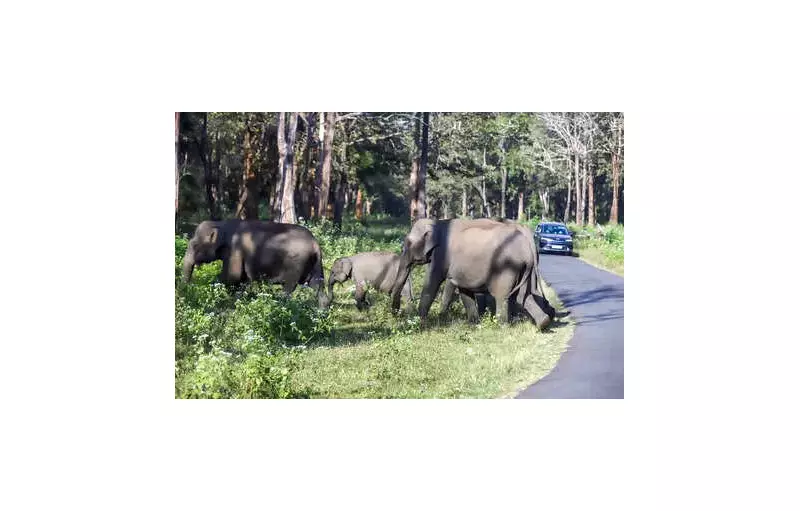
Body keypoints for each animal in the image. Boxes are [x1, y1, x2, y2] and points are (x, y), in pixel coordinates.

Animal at [181, 220, 331, 308]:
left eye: (194, 245)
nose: (188, 289)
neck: (222, 223)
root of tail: (315, 243)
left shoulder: (235, 249)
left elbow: (232, 276)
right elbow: (239, 280)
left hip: (295, 264)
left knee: (289, 288)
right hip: (316, 264)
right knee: (317, 286)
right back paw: (321, 313)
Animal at [390, 218, 555, 329]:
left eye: (408, 243)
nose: (395, 314)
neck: (437, 222)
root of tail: (528, 247)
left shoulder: (441, 255)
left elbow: (433, 282)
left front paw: (420, 322)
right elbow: (464, 290)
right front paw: (473, 324)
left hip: (507, 267)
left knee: (502, 296)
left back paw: (500, 326)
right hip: (523, 269)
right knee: (523, 296)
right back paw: (543, 323)